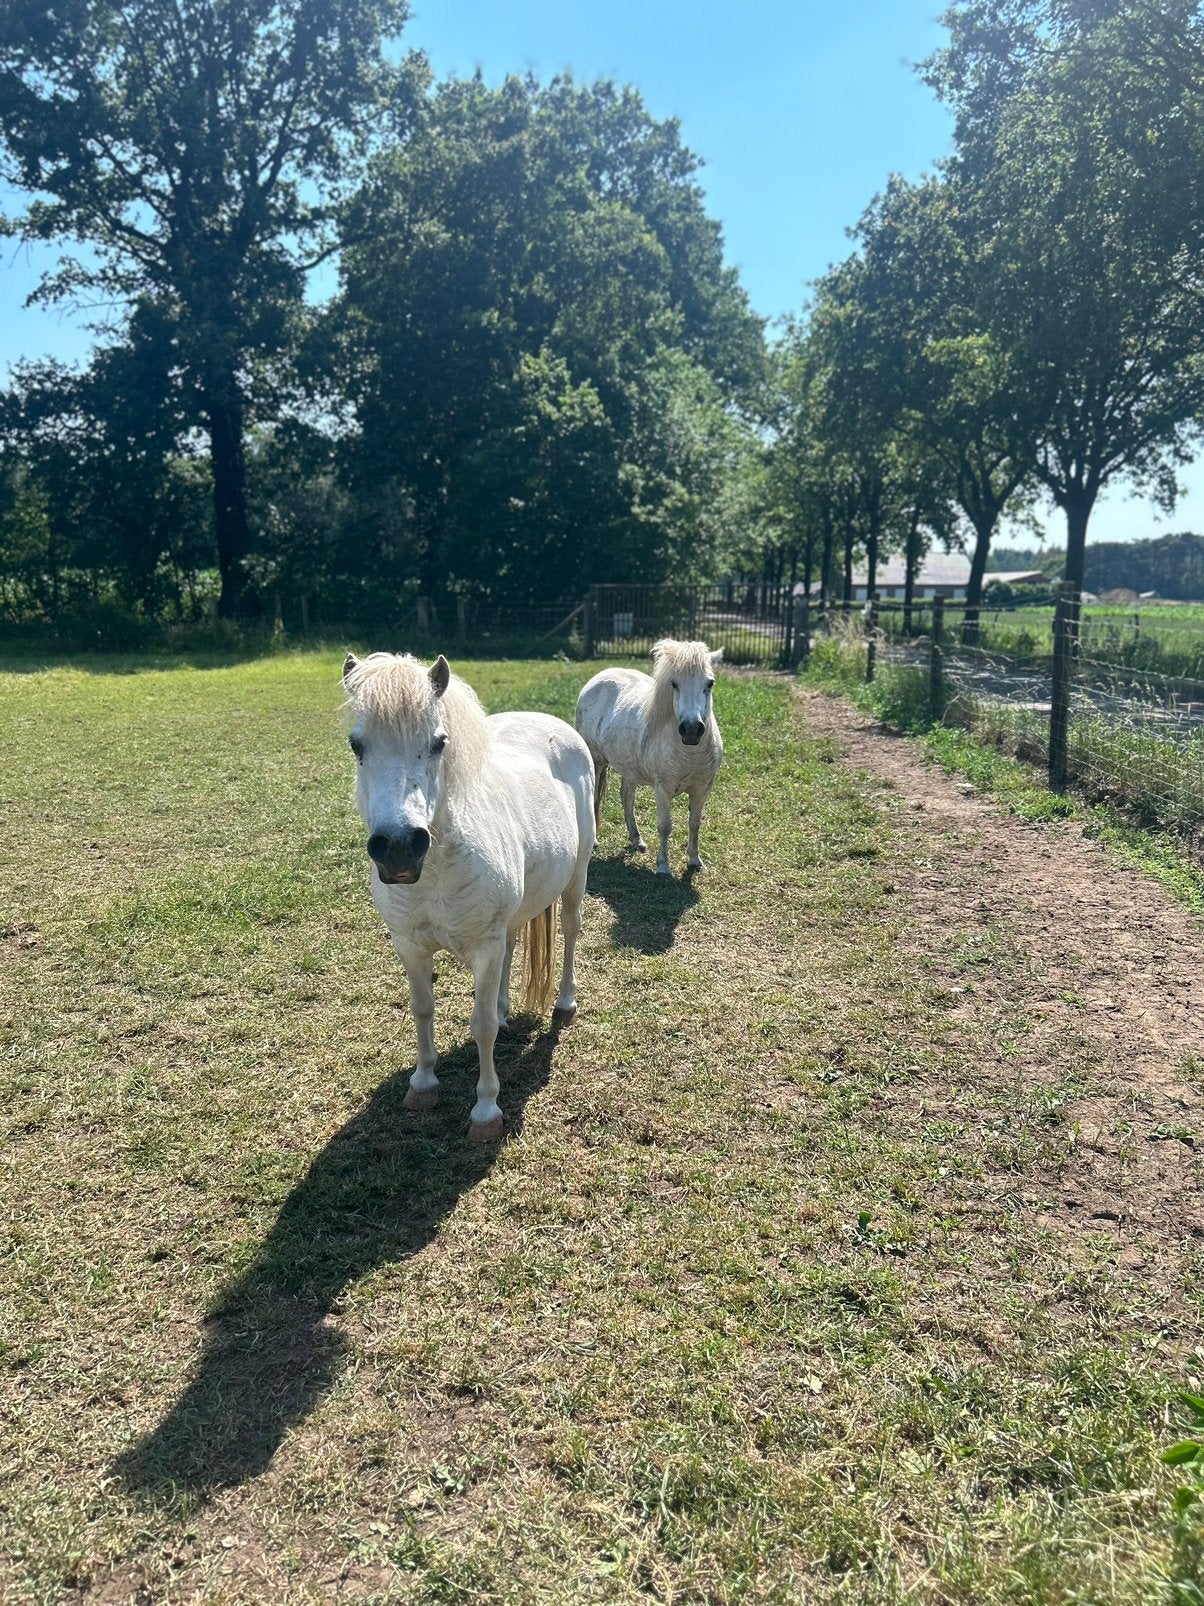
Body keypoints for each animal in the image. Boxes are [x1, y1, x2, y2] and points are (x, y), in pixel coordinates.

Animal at [342, 651, 596, 1142]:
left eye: (440, 742)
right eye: (356, 745)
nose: (399, 847)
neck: (435, 874)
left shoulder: (483, 946)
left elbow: (481, 1028)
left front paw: (486, 1110)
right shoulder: (410, 945)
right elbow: (423, 1009)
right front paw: (422, 1083)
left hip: (576, 877)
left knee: (571, 931)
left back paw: (564, 1005)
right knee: (513, 944)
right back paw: (504, 1007)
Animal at [575, 638, 724, 876]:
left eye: (709, 683)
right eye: (674, 684)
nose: (691, 730)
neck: (689, 754)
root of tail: (598, 678)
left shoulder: (702, 789)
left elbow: (694, 823)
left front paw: (695, 861)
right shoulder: (662, 790)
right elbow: (665, 826)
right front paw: (663, 866)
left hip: (629, 769)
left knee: (626, 797)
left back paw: (637, 840)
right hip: (596, 761)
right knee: (595, 797)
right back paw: (596, 841)